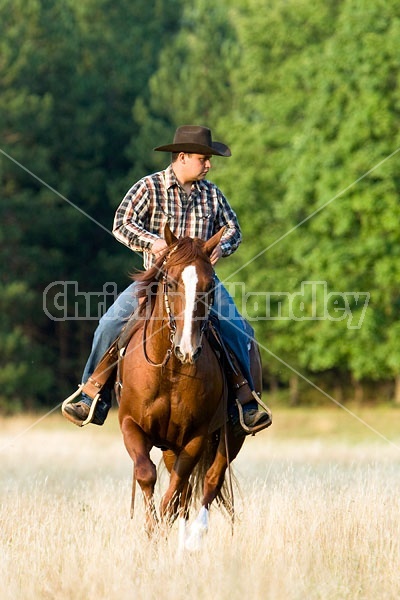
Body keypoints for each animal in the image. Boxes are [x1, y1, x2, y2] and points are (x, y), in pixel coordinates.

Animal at [118, 226, 262, 552]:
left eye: (209, 285)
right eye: (170, 282)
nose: (187, 348)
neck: (170, 371)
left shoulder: (196, 436)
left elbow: (177, 490)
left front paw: (161, 532)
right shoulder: (130, 424)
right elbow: (147, 474)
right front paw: (152, 533)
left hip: (230, 435)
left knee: (211, 479)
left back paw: (195, 534)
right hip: (171, 446)